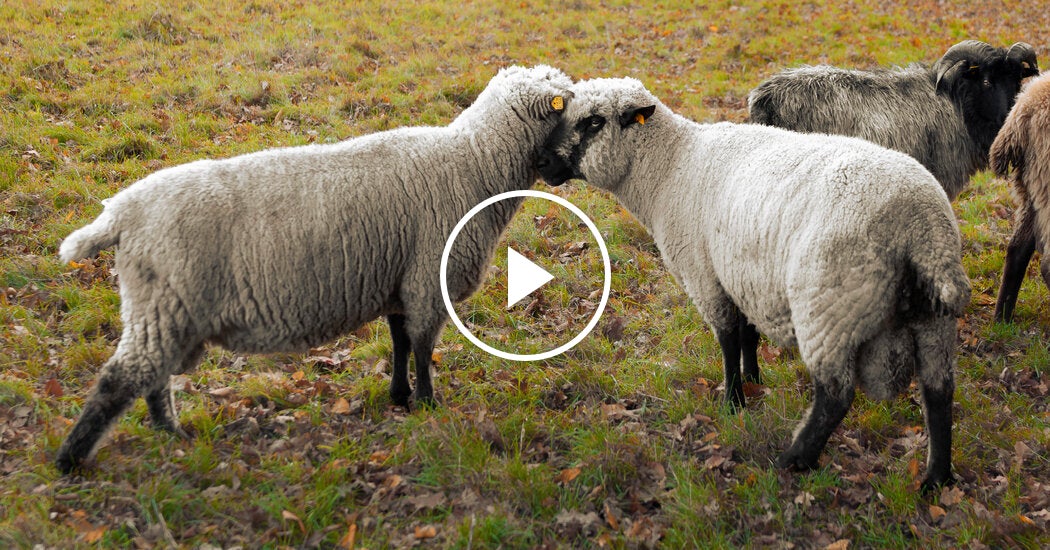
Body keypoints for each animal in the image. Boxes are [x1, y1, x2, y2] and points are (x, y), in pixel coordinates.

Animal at [54, 64, 573, 473]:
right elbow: (424, 348)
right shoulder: (429, 279)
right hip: (164, 302)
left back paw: (170, 435)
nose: (558, 170)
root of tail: (120, 213)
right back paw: (71, 462)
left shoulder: (401, 281)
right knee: (121, 379)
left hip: (164, 310)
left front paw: (399, 397)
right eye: (569, 112)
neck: (474, 162)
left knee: (152, 377)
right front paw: (428, 405)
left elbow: (401, 342)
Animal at [537, 77, 970, 490]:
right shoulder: (739, 274)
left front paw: (733, 402)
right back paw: (936, 479)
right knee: (939, 392)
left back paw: (794, 460)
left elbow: (728, 339)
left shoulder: (706, 276)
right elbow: (747, 334)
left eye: (594, 122)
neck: (670, 167)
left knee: (836, 395)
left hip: (829, 307)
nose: (541, 162)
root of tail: (921, 225)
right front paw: (753, 379)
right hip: (931, 320)